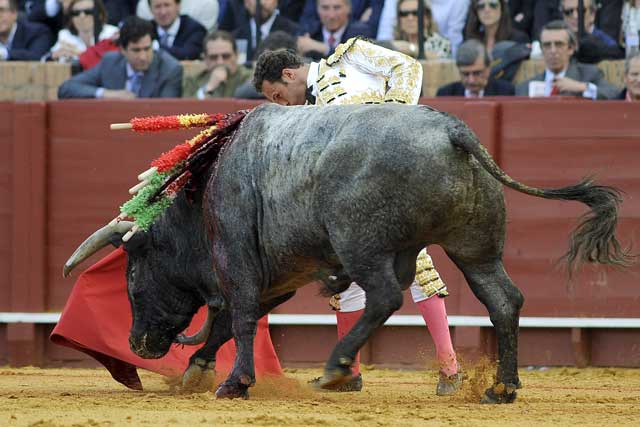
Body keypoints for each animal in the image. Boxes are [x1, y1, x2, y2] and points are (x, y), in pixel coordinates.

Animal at [63, 104, 632, 404]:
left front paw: (234, 382)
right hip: (474, 247)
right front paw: (197, 372)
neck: (204, 194)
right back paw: (502, 387)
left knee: (384, 298)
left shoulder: (238, 259)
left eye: (132, 275)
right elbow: (231, 322)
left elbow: (240, 317)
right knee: (502, 300)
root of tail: (454, 131)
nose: (136, 343)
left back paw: (336, 367)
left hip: (362, 244)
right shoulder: (278, 277)